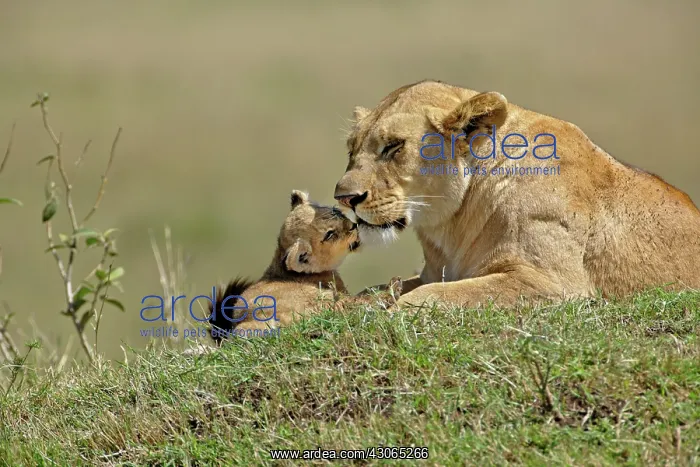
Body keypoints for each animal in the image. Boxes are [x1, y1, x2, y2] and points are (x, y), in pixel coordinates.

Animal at [334, 80, 700, 309]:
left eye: (393, 146)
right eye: (351, 149)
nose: (344, 198)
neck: (452, 227)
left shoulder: (555, 284)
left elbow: (436, 296)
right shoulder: (432, 272)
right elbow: (381, 288)